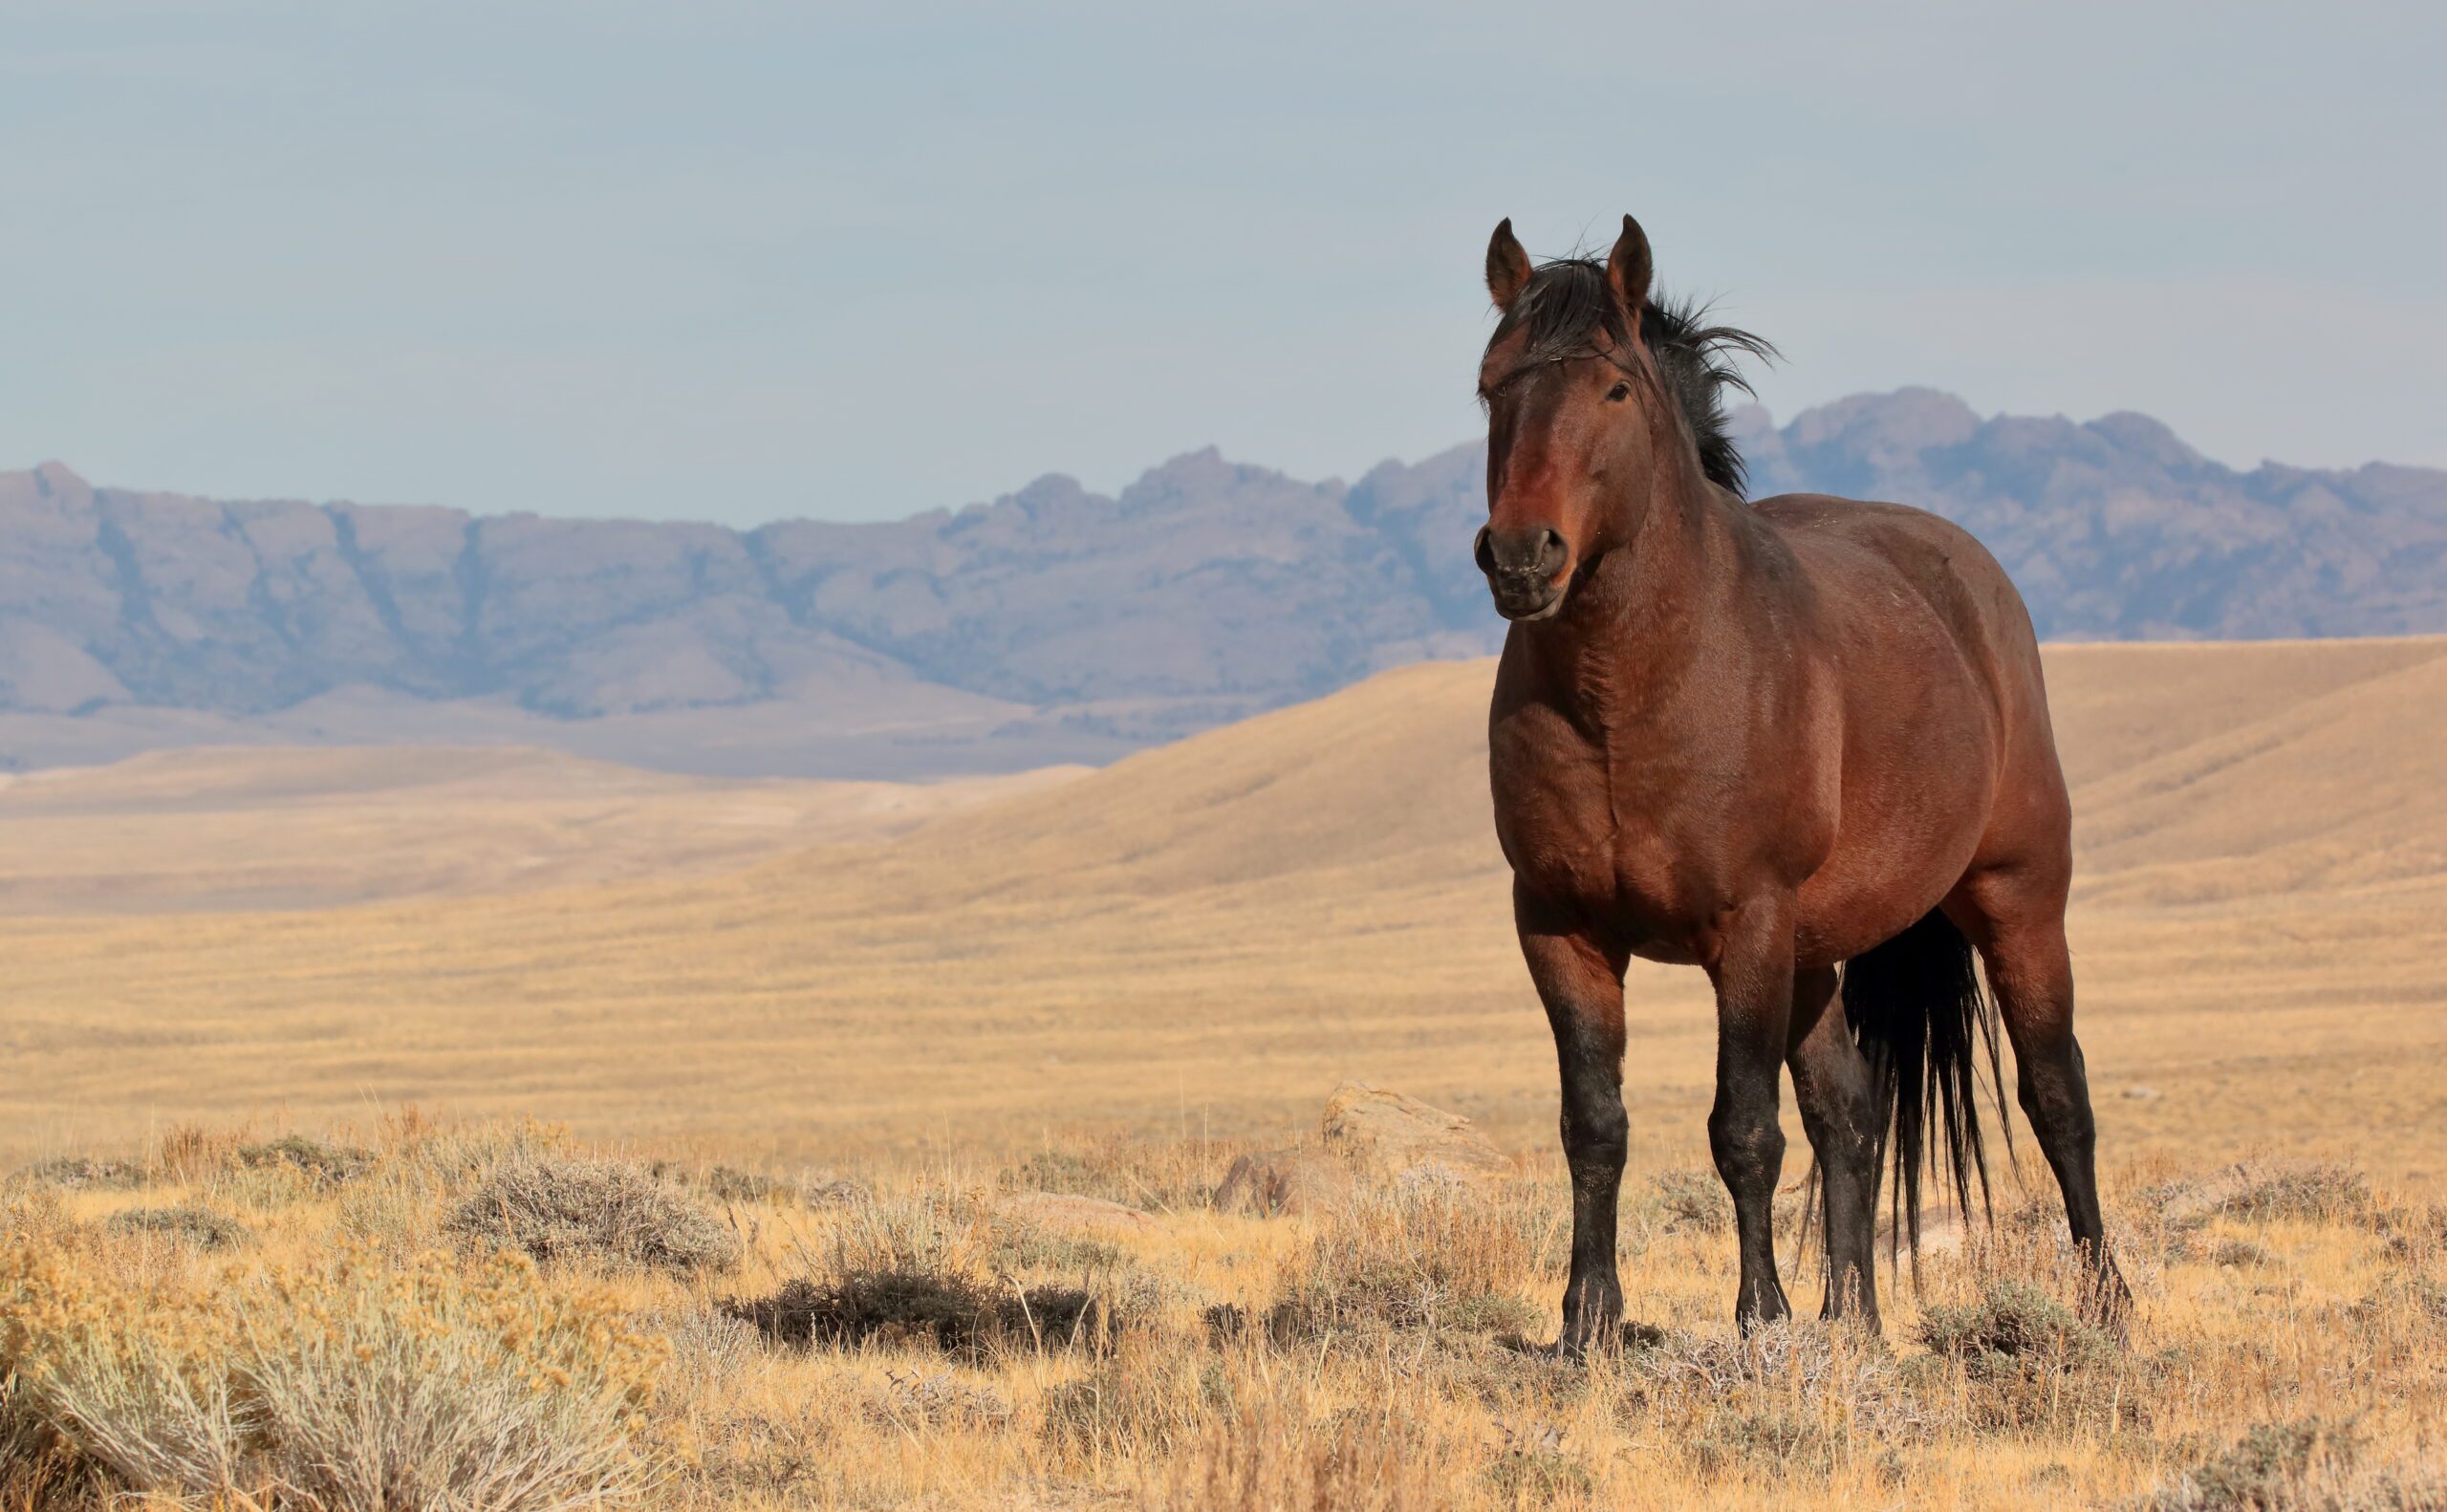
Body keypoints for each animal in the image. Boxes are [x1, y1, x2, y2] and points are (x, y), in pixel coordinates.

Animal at [1468, 208, 2124, 1340]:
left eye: (1615, 390)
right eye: (1491, 386)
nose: (1521, 556)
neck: (1630, 696)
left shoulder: (1749, 926)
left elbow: (1743, 1129)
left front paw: (1761, 1318)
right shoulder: (1559, 928)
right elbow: (1595, 1125)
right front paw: (1587, 1320)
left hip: (2014, 901)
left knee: (2056, 1095)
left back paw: (2102, 1303)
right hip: (1816, 955)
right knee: (1851, 1112)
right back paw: (1852, 1320)